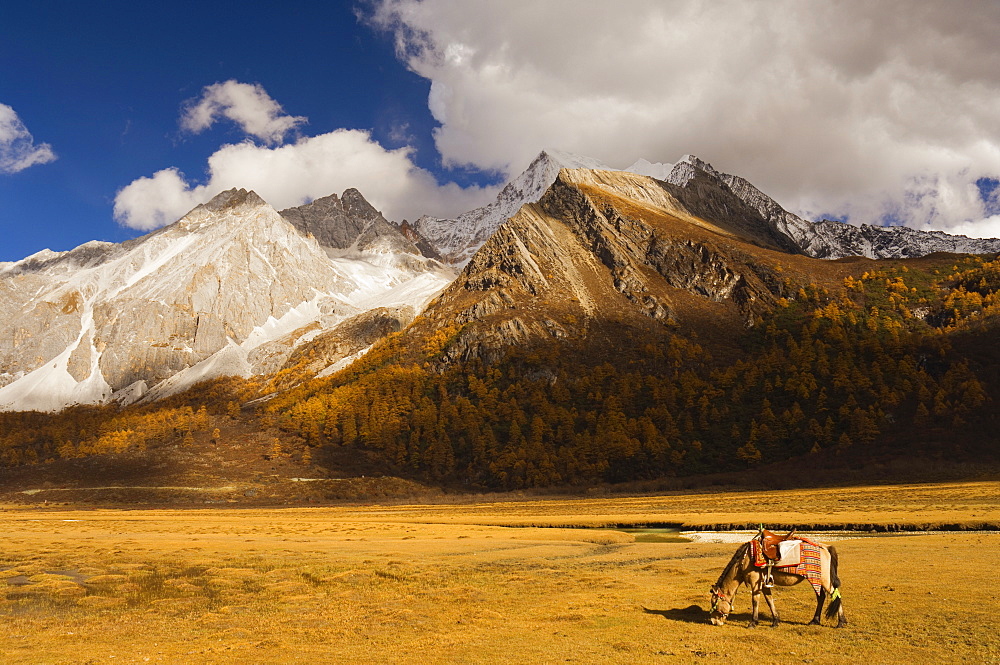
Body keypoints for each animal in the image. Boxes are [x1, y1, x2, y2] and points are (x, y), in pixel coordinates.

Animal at [708, 536, 848, 628]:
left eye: (714, 602)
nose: (714, 622)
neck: (745, 560)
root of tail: (826, 547)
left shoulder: (755, 583)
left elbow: (755, 601)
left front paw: (753, 622)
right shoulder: (764, 584)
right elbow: (769, 600)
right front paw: (775, 621)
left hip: (824, 579)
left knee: (835, 594)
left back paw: (840, 622)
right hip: (816, 579)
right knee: (821, 597)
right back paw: (814, 620)